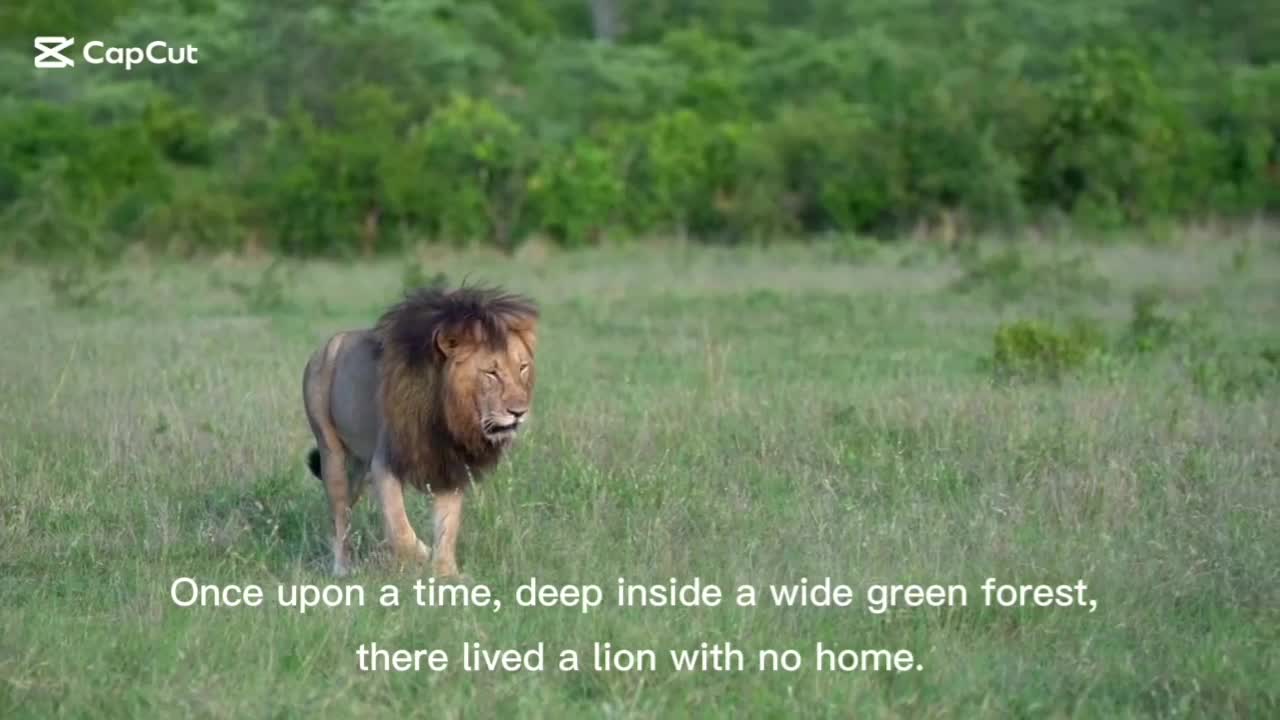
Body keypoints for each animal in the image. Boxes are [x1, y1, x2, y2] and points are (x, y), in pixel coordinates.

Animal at [302, 285, 538, 577]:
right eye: (491, 373)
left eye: (522, 368)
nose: (519, 412)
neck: (446, 416)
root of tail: (324, 347)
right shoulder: (385, 464)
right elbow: (400, 529)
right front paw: (423, 555)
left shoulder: (449, 467)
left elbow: (447, 528)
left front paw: (447, 574)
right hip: (330, 450)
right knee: (338, 515)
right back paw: (342, 569)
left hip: (356, 469)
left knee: (346, 504)